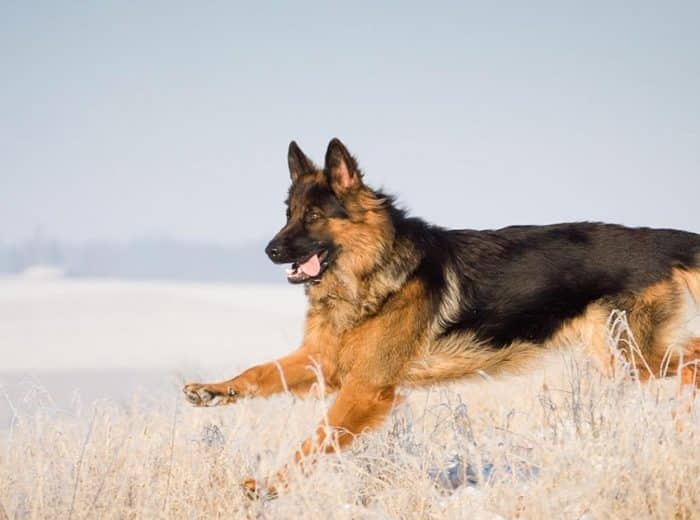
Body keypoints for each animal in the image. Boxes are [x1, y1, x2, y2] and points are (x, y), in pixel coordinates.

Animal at [185, 138, 700, 496]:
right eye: (288, 213)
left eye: (313, 216)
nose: (270, 250)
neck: (373, 269)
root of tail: (658, 239)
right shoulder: (323, 362)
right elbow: (258, 373)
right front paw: (213, 391)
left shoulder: (366, 388)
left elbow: (318, 437)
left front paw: (269, 486)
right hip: (625, 358)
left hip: (629, 356)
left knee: (692, 356)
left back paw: (683, 415)